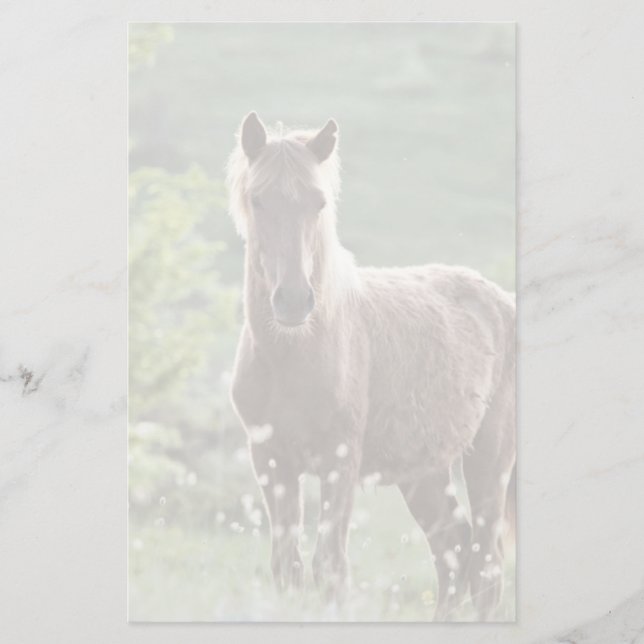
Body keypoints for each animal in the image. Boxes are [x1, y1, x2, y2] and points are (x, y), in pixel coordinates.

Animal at [226, 112, 516, 621]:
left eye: (318, 201)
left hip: (489, 459)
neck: (294, 355)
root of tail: (504, 303)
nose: (294, 301)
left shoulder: (339, 461)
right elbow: (287, 565)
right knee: (454, 550)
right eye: (258, 199)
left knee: (485, 565)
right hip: (424, 473)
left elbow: (330, 565)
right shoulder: (271, 460)